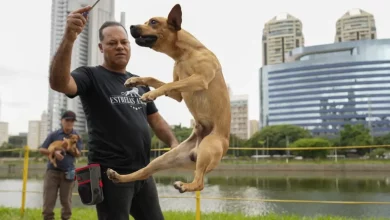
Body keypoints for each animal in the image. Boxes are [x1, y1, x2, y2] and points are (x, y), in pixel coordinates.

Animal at [106, 3, 232, 192]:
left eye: (153, 22)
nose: (132, 26)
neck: (184, 54)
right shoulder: (178, 93)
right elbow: (155, 80)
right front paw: (135, 80)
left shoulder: (199, 79)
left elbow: (166, 85)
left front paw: (150, 94)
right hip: (165, 158)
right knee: (143, 172)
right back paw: (119, 177)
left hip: (208, 147)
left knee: (200, 183)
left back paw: (184, 185)